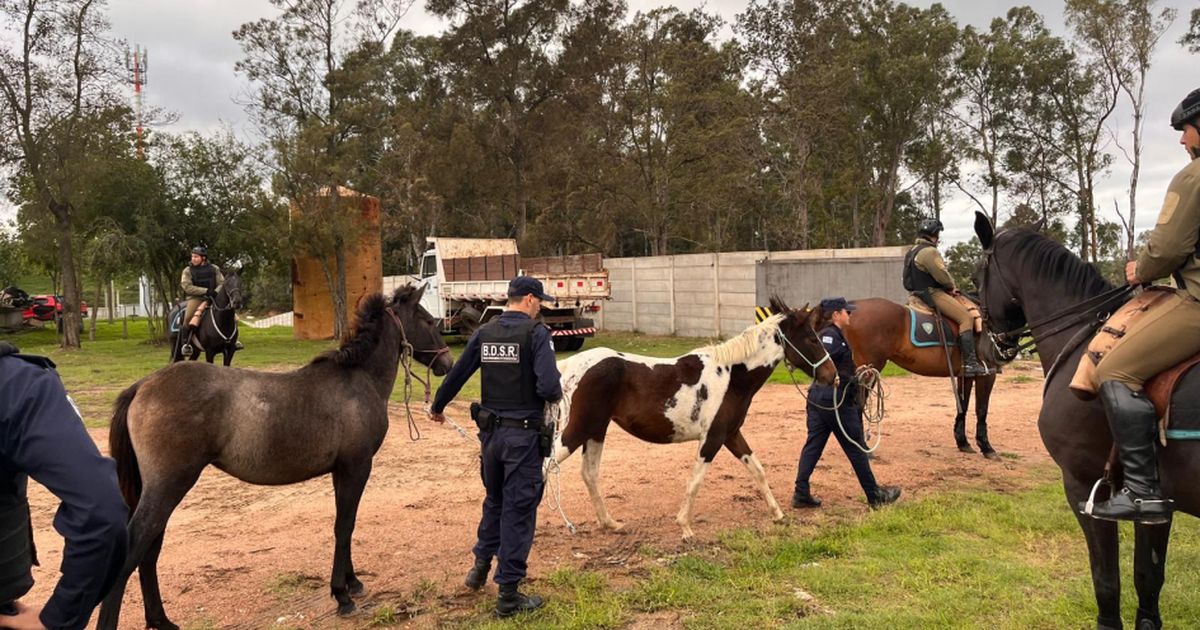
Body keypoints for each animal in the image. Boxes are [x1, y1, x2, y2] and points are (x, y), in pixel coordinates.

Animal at [97, 285, 454, 630]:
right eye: (428, 321)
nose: (447, 364)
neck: (358, 380)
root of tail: (143, 385)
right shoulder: (357, 466)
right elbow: (344, 525)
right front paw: (342, 595)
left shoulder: (341, 471)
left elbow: (345, 525)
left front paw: (352, 583)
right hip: (168, 485)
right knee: (135, 548)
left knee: (150, 551)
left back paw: (161, 620)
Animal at [550, 296, 837, 540]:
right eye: (812, 338)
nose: (831, 375)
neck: (731, 376)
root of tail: (569, 366)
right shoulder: (712, 438)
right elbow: (696, 481)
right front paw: (685, 527)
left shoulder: (732, 435)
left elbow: (757, 470)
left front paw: (778, 514)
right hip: (577, 430)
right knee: (548, 466)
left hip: (596, 430)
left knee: (589, 474)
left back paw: (610, 523)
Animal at [821, 297, 1001, 457]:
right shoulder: (988, 374)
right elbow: (982, 409)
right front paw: (987, 447)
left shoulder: (967, 375)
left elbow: (963, 405)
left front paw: (963, 442)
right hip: (868, 370)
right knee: (858, 404)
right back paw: (863, 448)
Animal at [973, 213, 1198, 630]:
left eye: (977, 276)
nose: (985, 347)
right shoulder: (1159, 507)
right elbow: (1148, 579)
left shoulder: (1084, 488)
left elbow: (1106, 583)